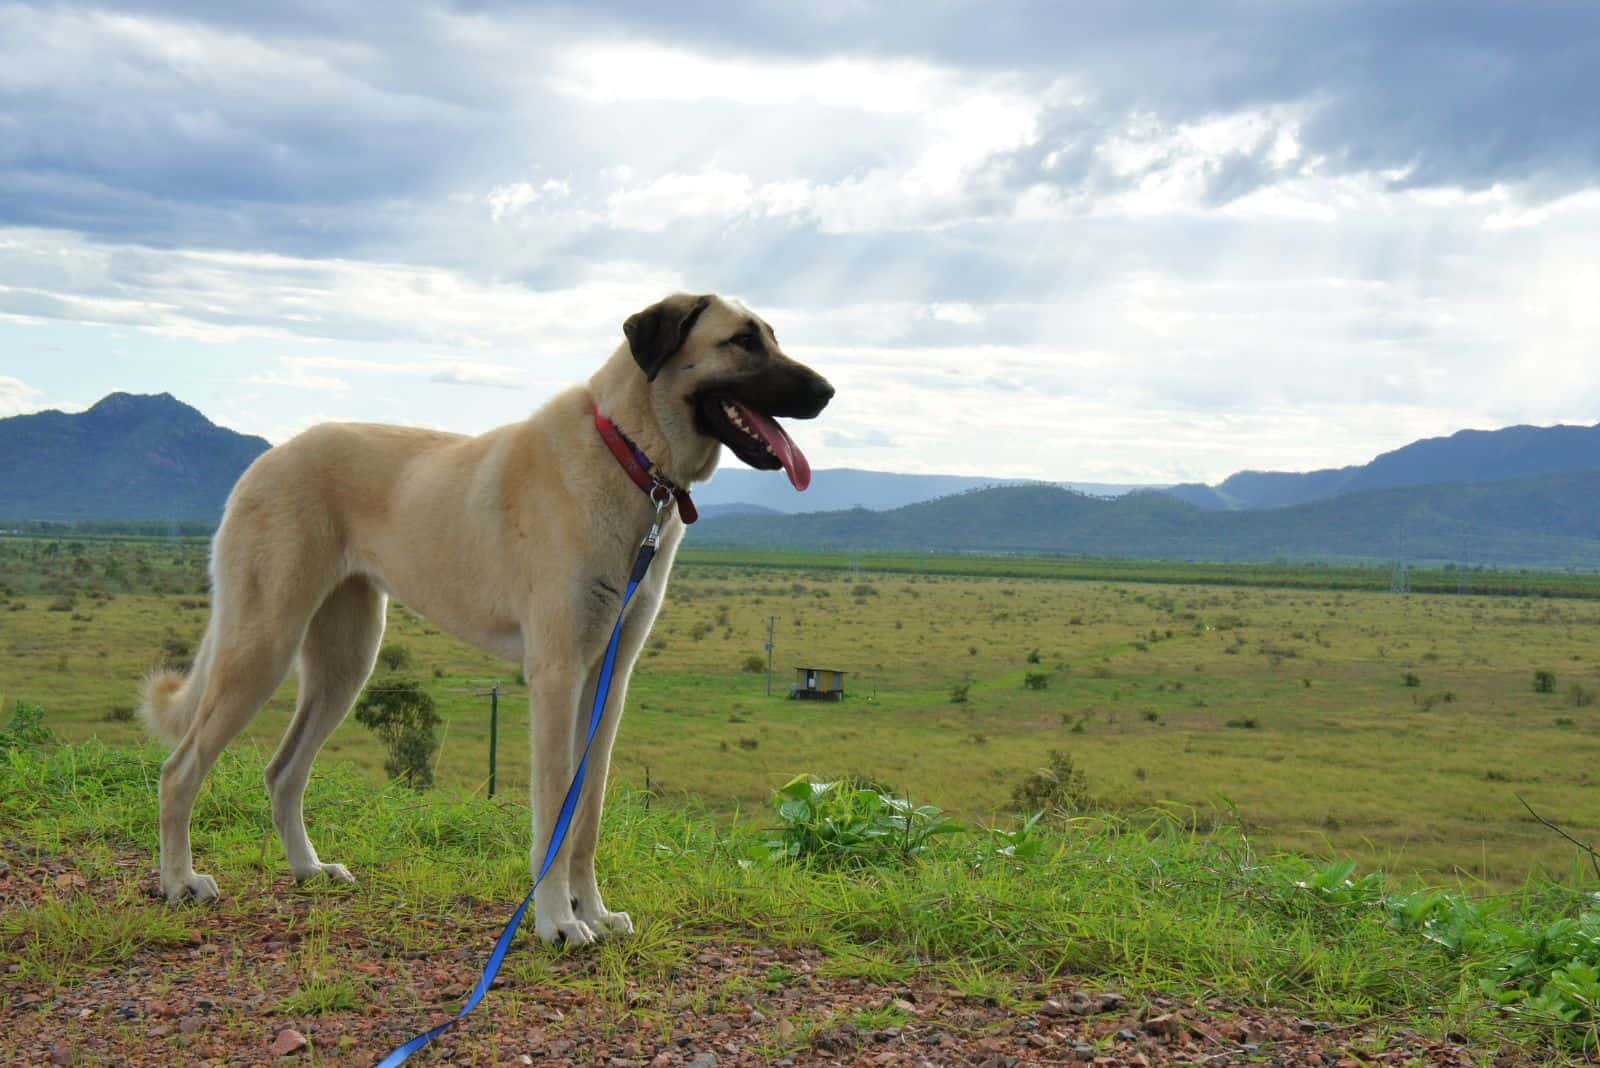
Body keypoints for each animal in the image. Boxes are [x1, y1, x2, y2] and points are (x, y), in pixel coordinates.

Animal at [144, 292, 838, 940]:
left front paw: (594, 910)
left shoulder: (607, 683)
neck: (629, 452)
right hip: (262, 644)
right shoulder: (556, 675)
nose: (829, 392)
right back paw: (180, 882)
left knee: (282, 771)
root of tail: (266, 459)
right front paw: (558, 921)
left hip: (347, 662)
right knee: (179, 771)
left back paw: (308, 870)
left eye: (772, 335)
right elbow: (555, 808)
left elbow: (588, 812)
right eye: (743, 340)